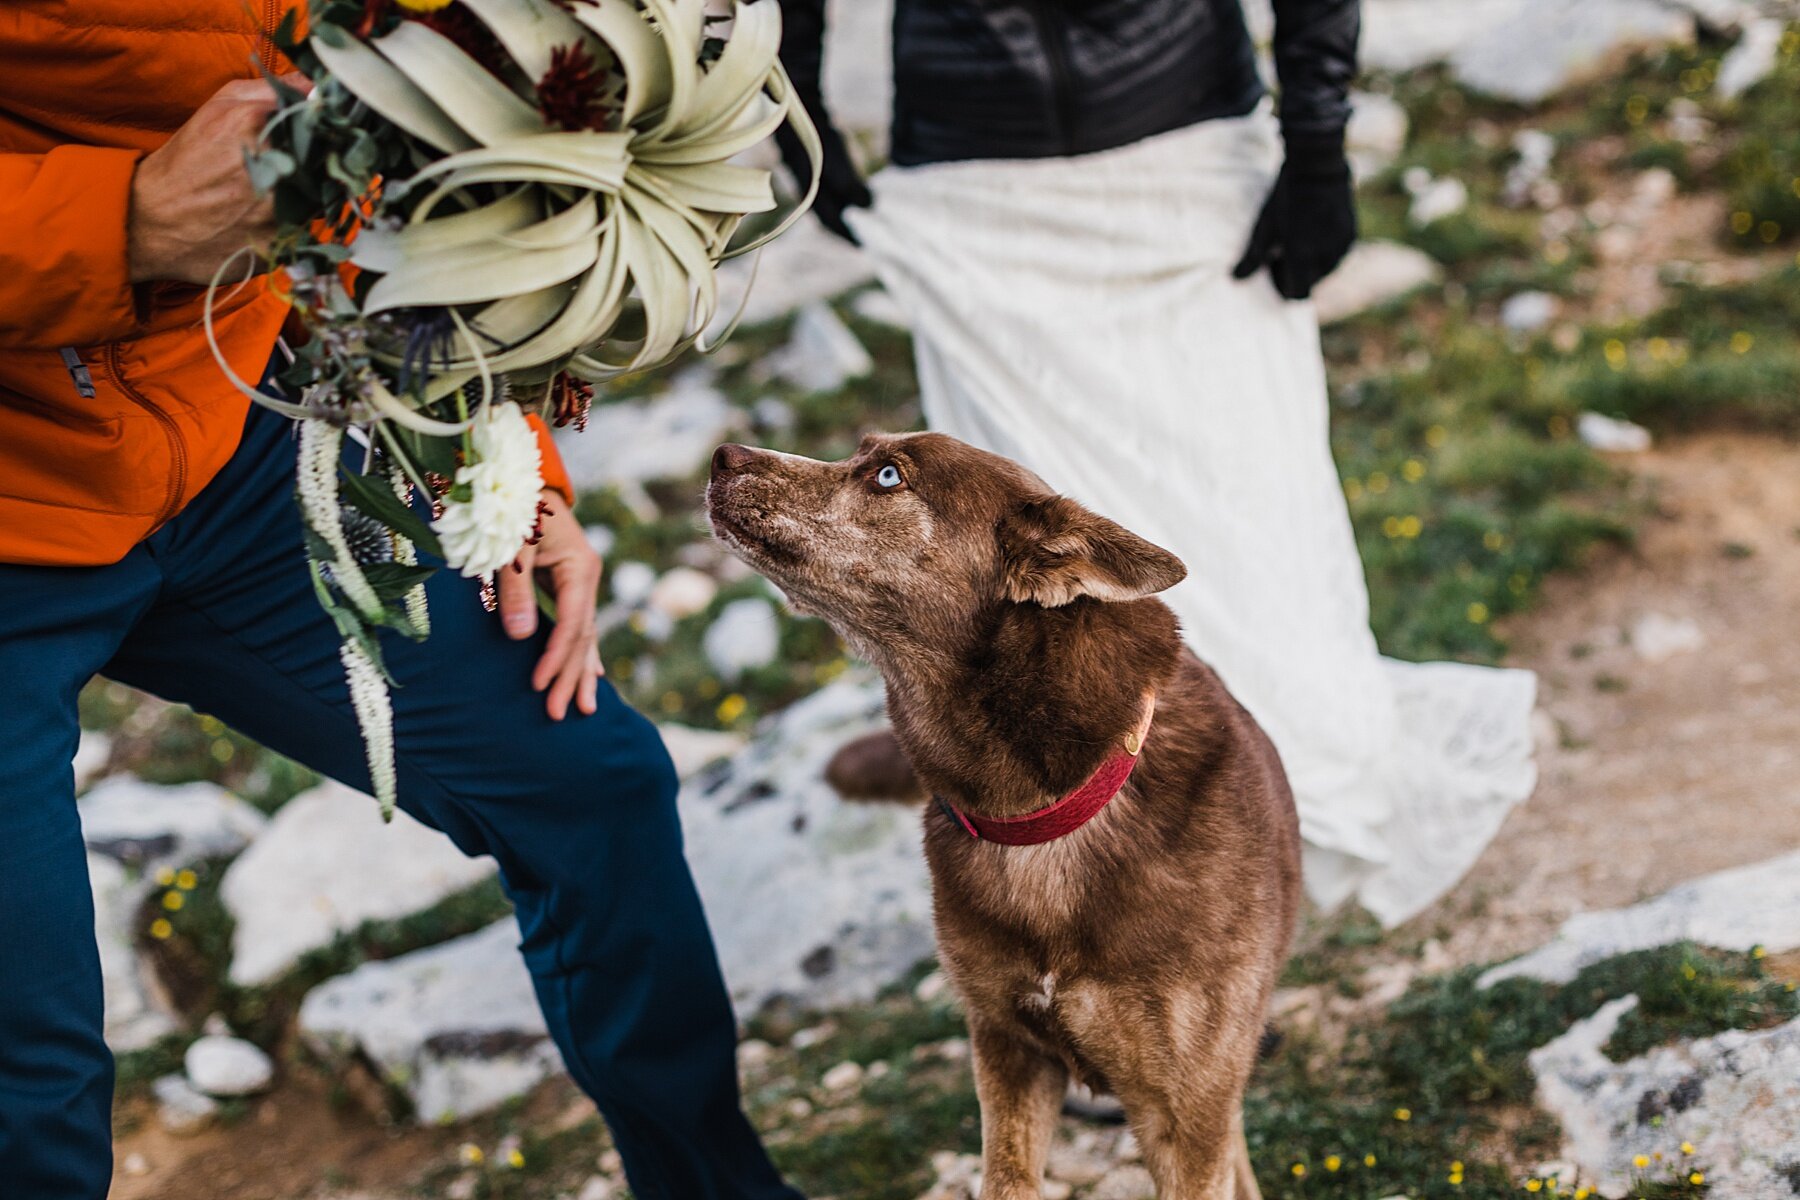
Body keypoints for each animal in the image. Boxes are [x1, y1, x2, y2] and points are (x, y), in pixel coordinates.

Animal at [705, 437, 1310, 1194]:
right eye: (863, 451)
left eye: (887, 475)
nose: (722, 455)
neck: (1038, 813)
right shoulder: (1009, 1054)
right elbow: (1006, 1176)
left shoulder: (1183, 1108)